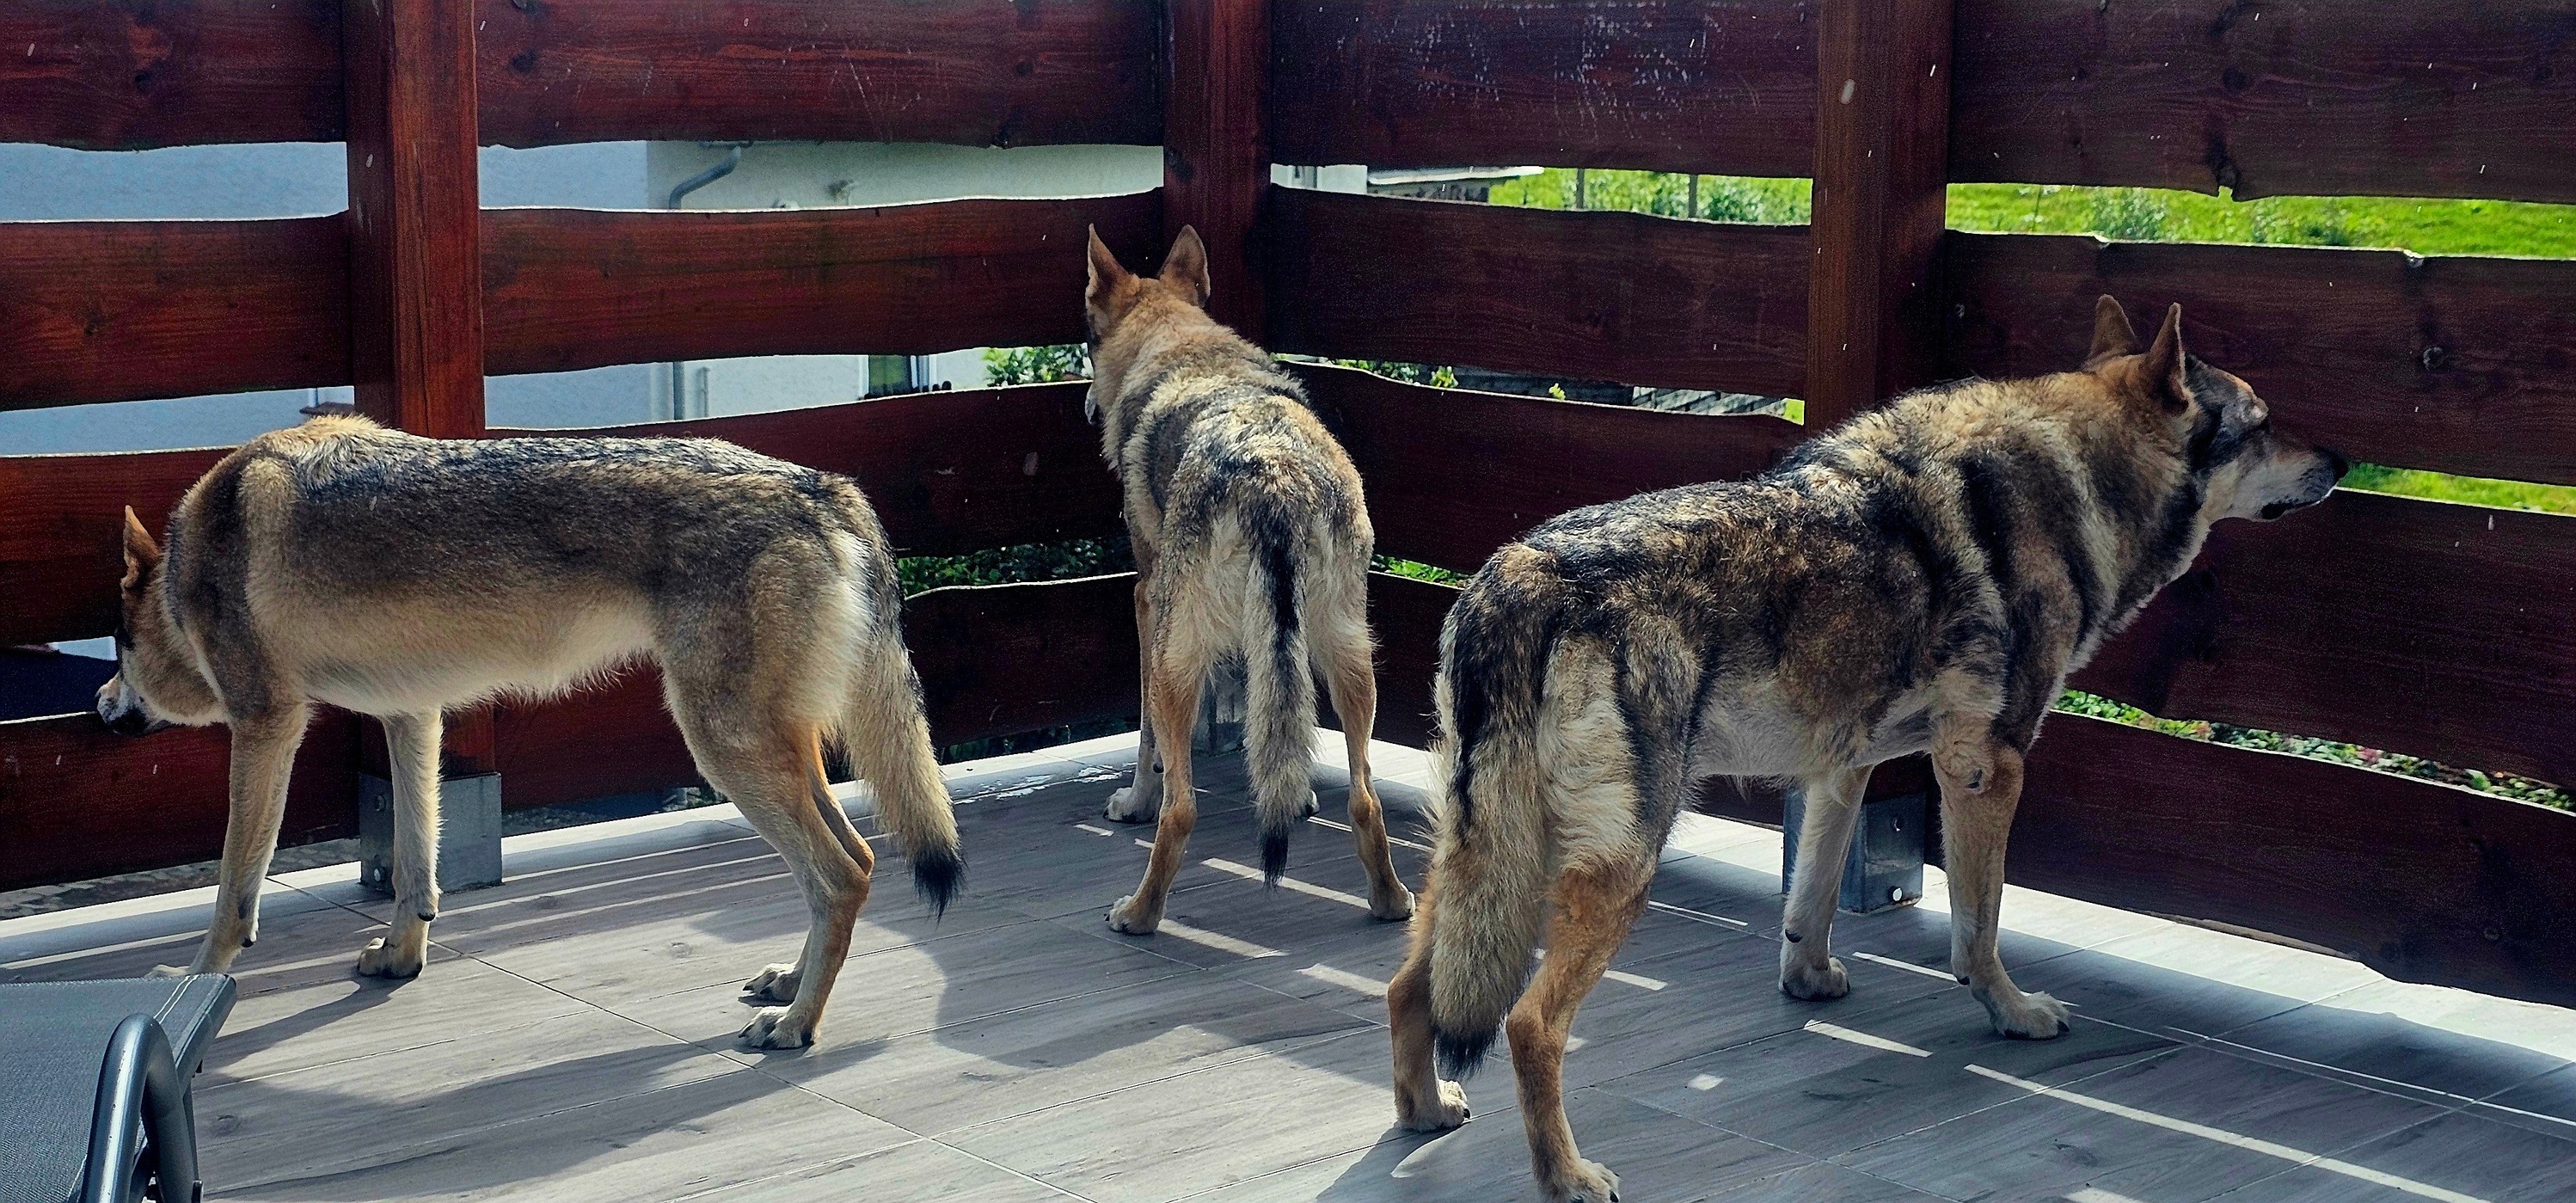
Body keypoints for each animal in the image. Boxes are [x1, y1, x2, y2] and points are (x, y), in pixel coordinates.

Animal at [95, 416, 962, 1049]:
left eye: (115, 647)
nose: (100, 705)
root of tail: (824, 487)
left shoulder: (267, 727)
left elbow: (232, 895)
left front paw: (188, 987)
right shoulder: (413, 716)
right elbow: (414, 870)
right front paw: (401, 958)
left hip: (725, 750)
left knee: (842, 872)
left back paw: (795, 1025)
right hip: (778, 752)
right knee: (849, 862)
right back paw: (788, 984)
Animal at [1081, 225, 1414, 934]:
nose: (1089, 404)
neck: (1181, 345)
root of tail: (1275, 474)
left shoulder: (1147, 602)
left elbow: (1146, 737)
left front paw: (1133, 799)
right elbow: (1277, 715)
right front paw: (1296, 789)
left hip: (1178, 659)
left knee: (1182, 810)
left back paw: (1139, 913)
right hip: (1351, 658)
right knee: (1365, 799)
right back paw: (1390, 901)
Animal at [1385, 298, 2349, 1201]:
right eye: (2264, 421)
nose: (2340, 460)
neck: (2072, 485)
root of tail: (1514, 579)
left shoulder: (1841, 768)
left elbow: (1809, 899)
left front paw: (1807, 982)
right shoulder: (1985, 768)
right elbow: (1978, 925)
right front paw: (2012, 1012)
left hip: (1481, 856)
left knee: (1410, 987)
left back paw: (1425, 1111)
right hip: (1620, 864)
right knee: (1528, 1024)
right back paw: (1568, 1176)